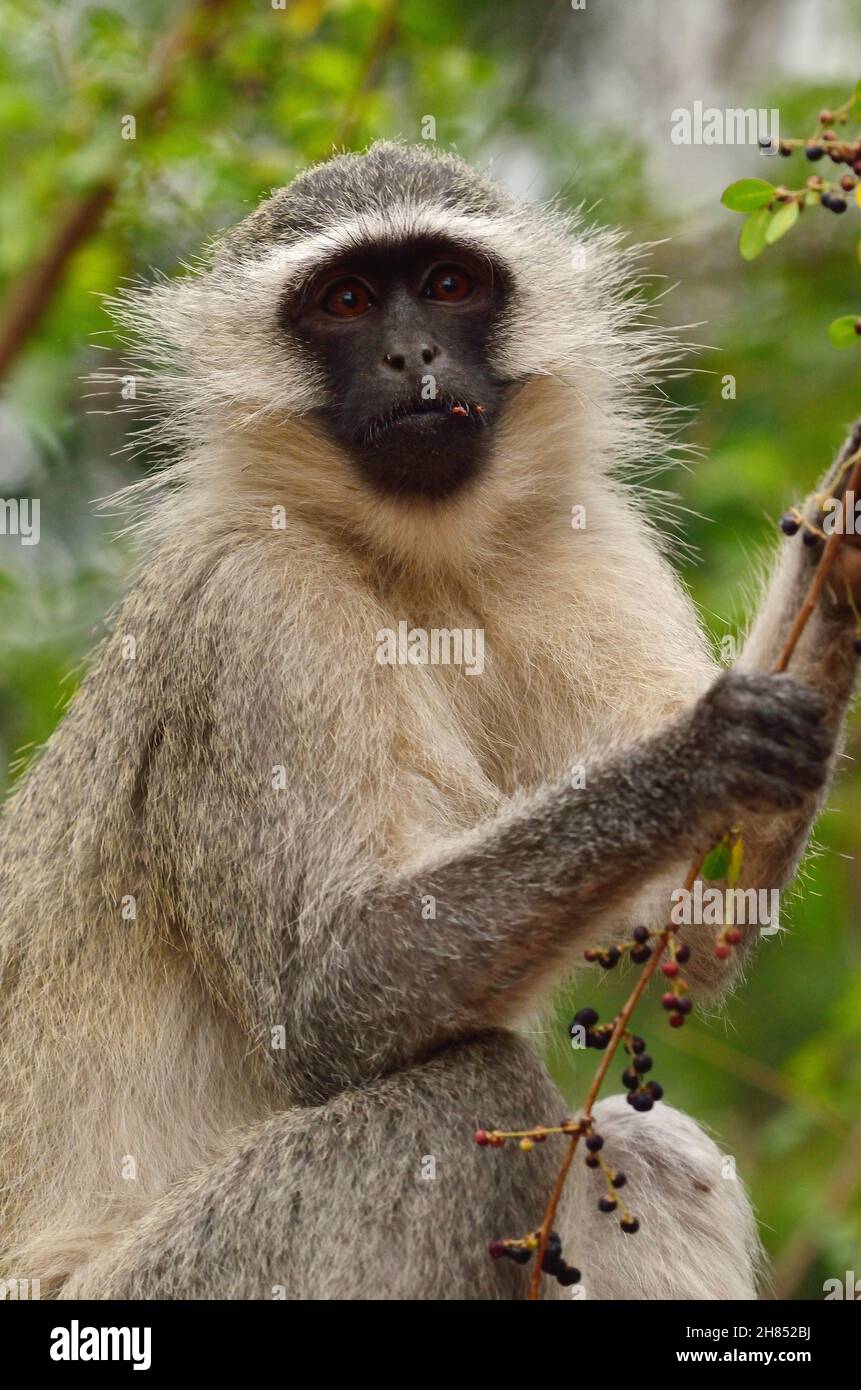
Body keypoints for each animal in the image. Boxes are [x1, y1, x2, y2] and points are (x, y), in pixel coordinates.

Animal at [1, 143, 861, 1301]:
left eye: (450, 284)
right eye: (347, 301)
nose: (411, 355)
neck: (414, 565)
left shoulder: (585, 551)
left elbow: (682, 939)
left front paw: (843, 549)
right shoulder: (250, 606)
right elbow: (322, 996)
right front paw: (698, 753)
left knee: (653, 1152)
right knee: (464, 1097)